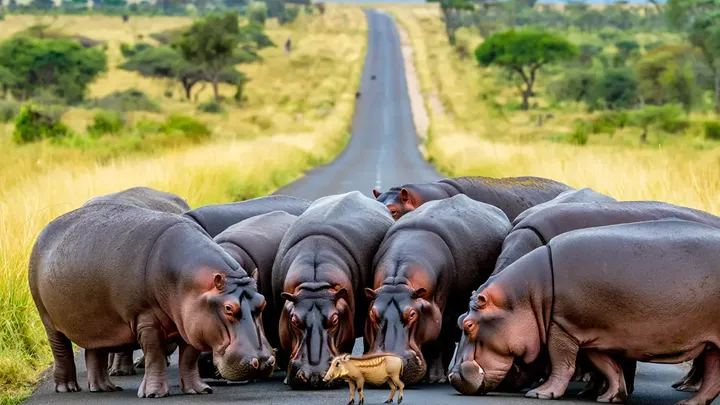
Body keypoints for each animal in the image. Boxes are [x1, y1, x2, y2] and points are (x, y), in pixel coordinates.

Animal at [28, 202, 275, 397]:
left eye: (262, 302)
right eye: (228, 308)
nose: (263, 361)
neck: (192, 283)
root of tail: (44, 231)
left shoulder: (190, 323)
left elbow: (189, 357)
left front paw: (199, 390)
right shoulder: (146, 320)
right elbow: (154, 354)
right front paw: (154, 393)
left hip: (99, 323)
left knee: (94, 351)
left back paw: (105, 388)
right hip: (48, 319)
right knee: (61, 350)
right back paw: (67, 388)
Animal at [365, 195, 511, 385]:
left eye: (412, 314)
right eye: (372, 314)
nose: (389, 365)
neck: (398, 283)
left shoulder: (444, 313)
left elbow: (438, 342)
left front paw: (434, 378)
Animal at [451, 219, 720, 405]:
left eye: (469, 325)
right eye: (459, 318)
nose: (452, 377)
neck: (528, 295)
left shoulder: (561, 326)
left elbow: (562, 363)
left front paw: (540, 394)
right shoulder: (591, 336)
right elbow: (608, 367)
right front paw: (610, 397)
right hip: (711, 344)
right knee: (712, 375)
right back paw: (689, 403)